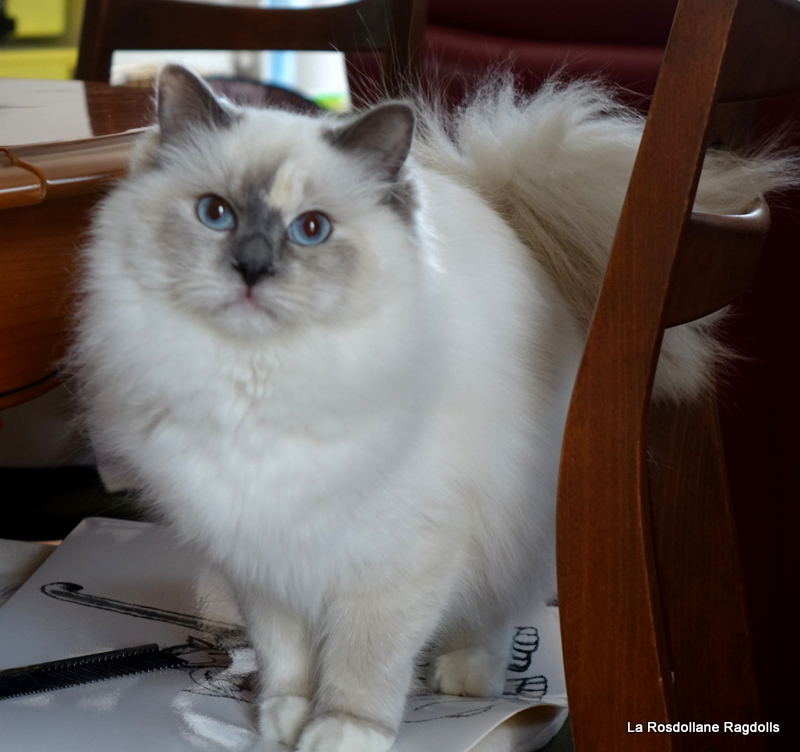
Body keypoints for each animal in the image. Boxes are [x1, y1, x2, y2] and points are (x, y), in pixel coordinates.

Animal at [72, 66, 796, 752]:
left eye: (312, 230)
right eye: (215, 213)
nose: (251, 268)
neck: (261, 383)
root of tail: (502, 207)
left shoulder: (397, 556)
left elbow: (363, 663)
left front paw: (341, 733)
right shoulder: (262, 560)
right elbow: (286, 659)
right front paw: (282, 723)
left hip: (510, 527)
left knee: (493, 614)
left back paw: (466, 676)